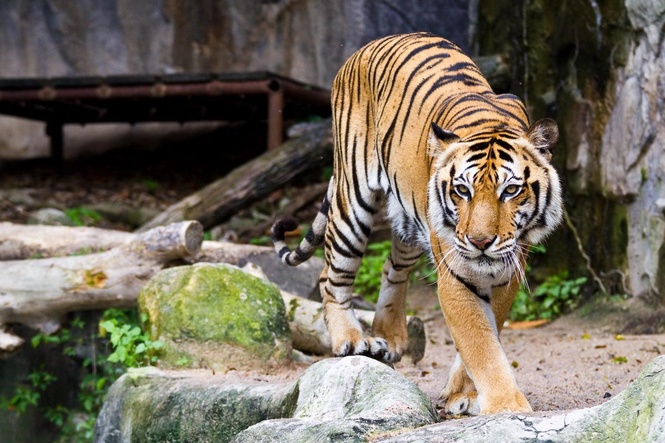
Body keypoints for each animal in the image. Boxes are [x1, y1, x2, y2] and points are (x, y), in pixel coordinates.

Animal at [272, 32, 562, 415]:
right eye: (462, 190)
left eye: (510, 190)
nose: (481, 242)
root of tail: (369, 45)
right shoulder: (455, 274)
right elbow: (480, 342)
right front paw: (505, 406)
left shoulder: (508, 271)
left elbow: (488, 331)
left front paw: (464, 394)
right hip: (353, 199)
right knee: (331, 275)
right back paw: (352, 340)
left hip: (409, 220)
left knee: (391, 269)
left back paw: (390, 337)